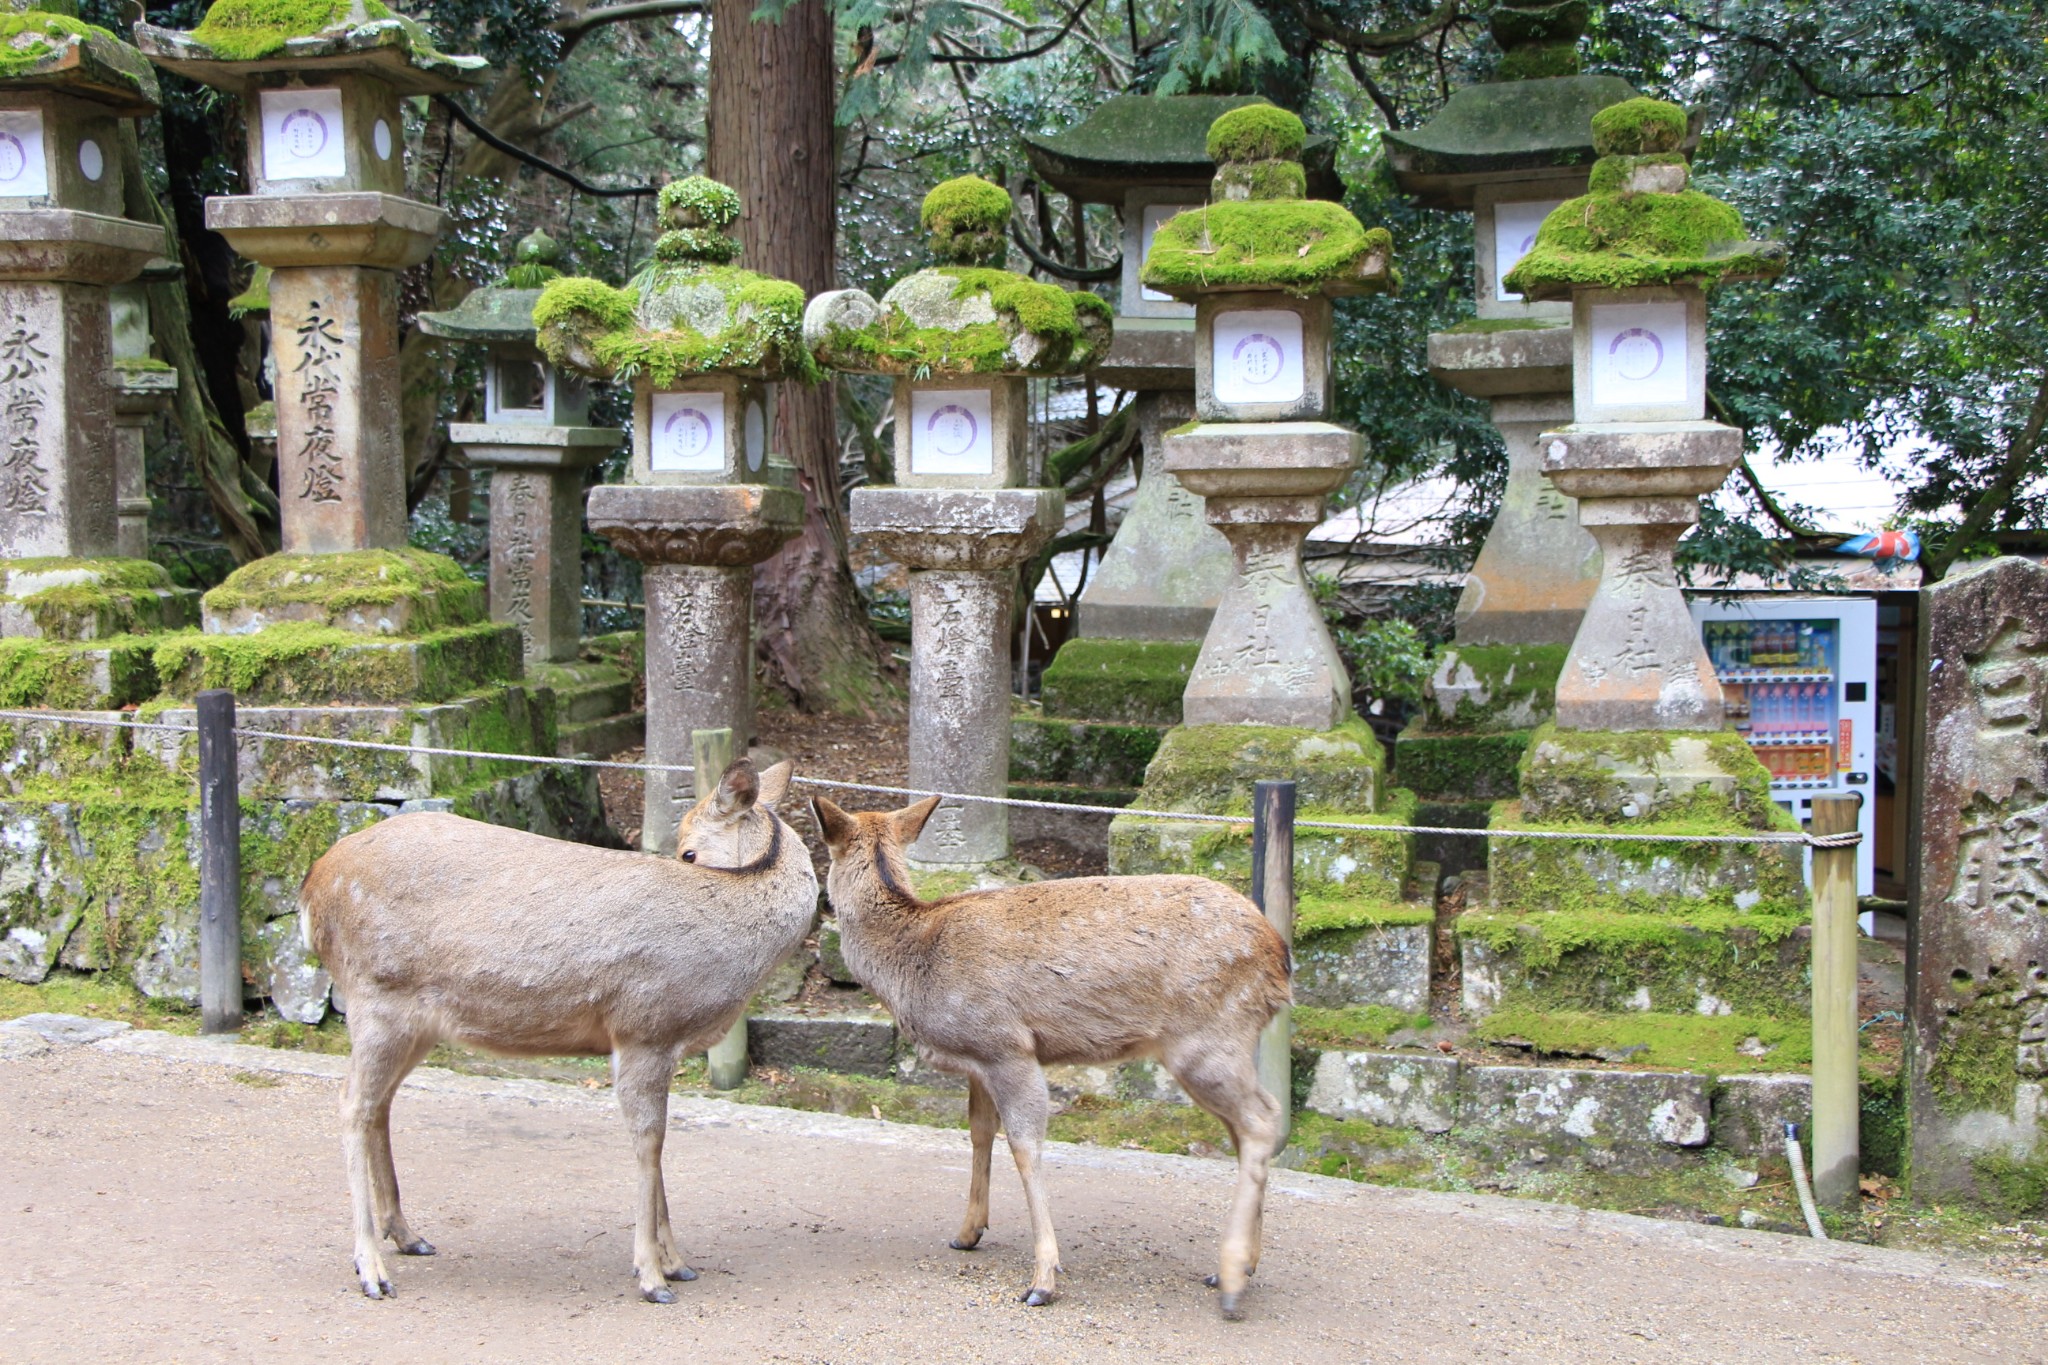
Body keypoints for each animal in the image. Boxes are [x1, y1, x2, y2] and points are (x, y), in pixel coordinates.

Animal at [303, 757, 815, 1301]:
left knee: (379, 1104)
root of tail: (312, 883)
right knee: (351, 1103)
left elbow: (659, 1144)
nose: (684, 856)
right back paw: (371, 1268)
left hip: (416, 1023)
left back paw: (407, 1235)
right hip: (375, 996)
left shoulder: (663, 1043)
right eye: (687, 853)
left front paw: (677, 1262)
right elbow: (649, 1142)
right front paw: (652, 1275)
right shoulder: (642, 1027)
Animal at [806, 794, 1286, 1317]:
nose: (821, 904)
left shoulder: (1005, 1044)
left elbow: (1025, 1145)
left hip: (1207, 1043)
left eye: (825, 857)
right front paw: (967, 1233)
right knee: (1246, 1129)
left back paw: (1232, 1279)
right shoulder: (977, 1060)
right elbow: (979, 1131)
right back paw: (1242, 1267)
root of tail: (1280, 959)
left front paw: (1042, 1280)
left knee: (1263, 1120)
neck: (911, 963)